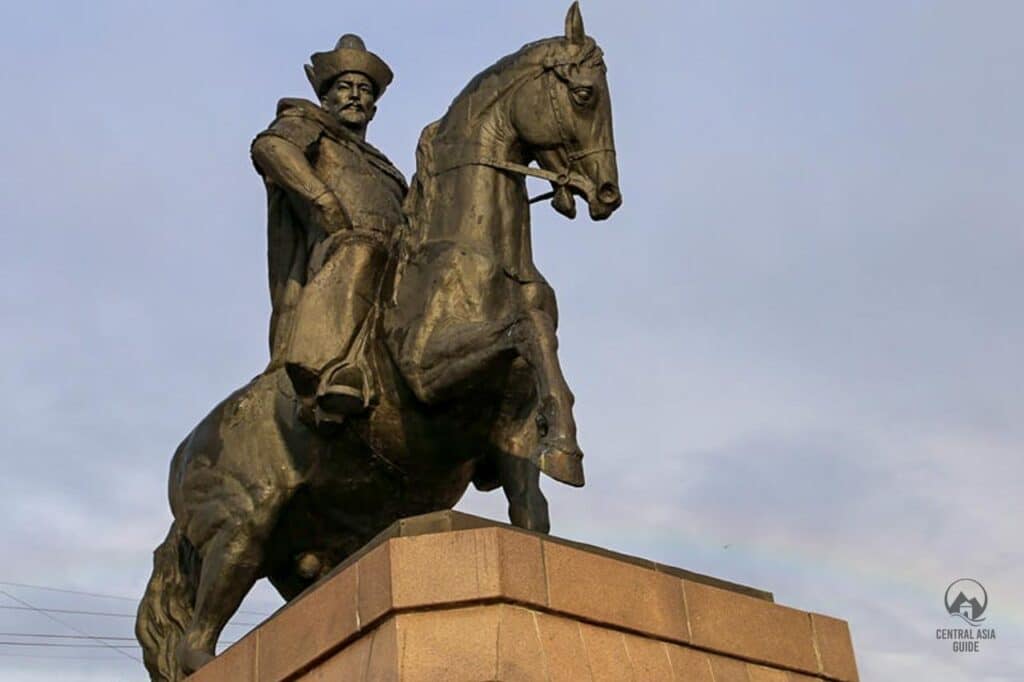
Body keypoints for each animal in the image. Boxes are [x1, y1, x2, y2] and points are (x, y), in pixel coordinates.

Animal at [134, 2, 614, 675]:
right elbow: (527, 326)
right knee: (196, 643)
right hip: (242, 525)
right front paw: (568, 447)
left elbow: (531, 508)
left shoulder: (510, 429)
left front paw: (562, 454)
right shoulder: (428, 374)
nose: (608, 194)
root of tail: (181, 458)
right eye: (584, 94)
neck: (476, 258)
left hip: (301, 553)